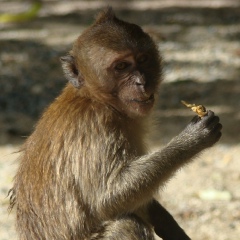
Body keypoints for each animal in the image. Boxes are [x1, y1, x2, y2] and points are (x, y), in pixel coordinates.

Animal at [8, 7, 223, 240]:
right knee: (126, 224)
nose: (141, 82)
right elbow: (108, 198)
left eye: (143, 59)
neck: (94, 98)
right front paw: (193, 139)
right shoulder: (97, 127)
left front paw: (171, 227)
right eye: (121, 66)